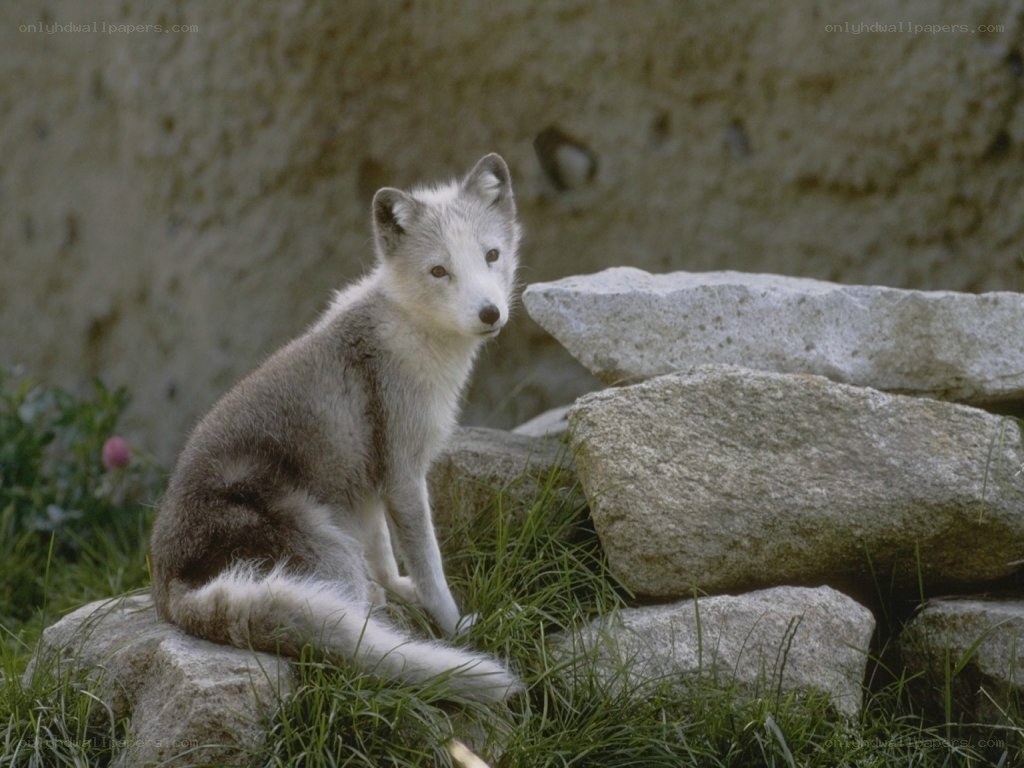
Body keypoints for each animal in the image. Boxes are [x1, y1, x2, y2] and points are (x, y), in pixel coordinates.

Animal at [149, 154, 522, 703]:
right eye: (439, 271)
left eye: (492, 255)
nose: (490, 313)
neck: (404, 328)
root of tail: (168, 590)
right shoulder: (403, 473)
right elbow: (429, 566)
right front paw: (453, 626)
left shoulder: (366, 485)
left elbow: (386, 555)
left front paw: (404, 589)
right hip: (323, 539)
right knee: (353, 629)